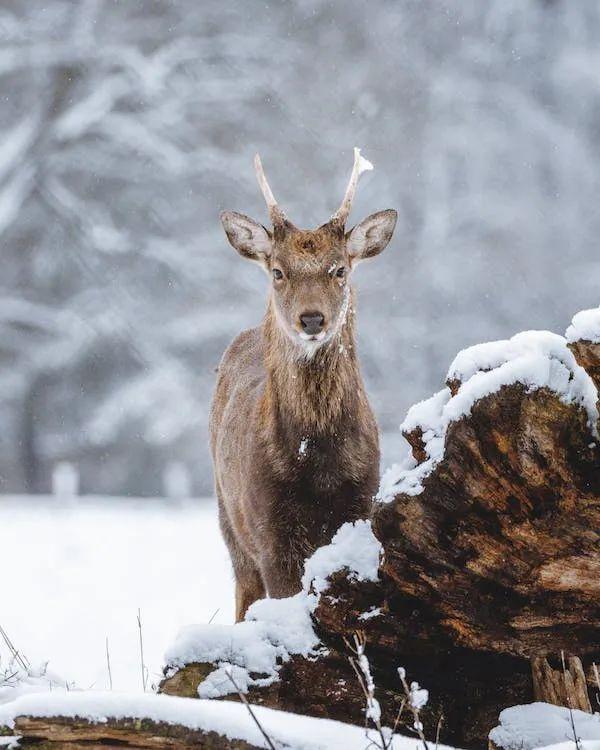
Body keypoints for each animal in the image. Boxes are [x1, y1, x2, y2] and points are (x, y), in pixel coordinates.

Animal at [211, 148, 398, 624]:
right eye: (278, 271)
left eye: (339, 270)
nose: (312, 319)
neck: (319, 467)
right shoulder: (270, 534)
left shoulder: (360, 506)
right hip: (229, 521)